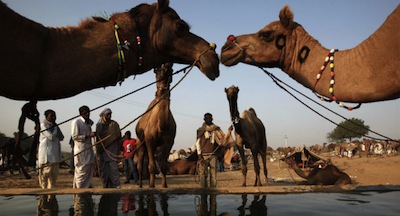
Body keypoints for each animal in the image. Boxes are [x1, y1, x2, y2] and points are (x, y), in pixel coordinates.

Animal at [0, 0, 219, 179]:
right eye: (180, 26)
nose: (212, 56)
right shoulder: (149, 141)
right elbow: (151, 167)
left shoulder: (168, 142)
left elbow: (162, 167)